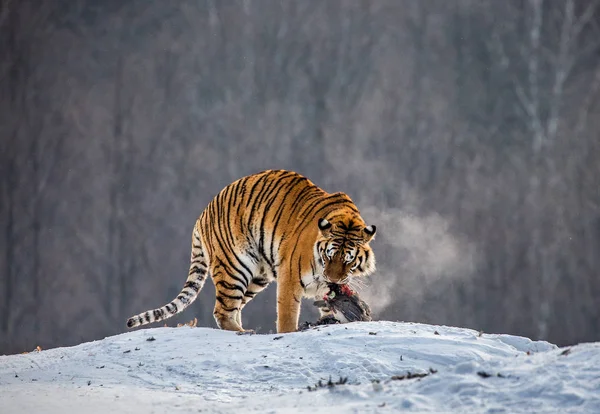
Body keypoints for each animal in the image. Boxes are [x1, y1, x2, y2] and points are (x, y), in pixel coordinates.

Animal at [127, 168, 378, 334]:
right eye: (329, 255)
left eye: (348, 260)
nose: (332, 279)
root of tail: (204, 213)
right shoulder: (290, 279)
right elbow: (287, 315)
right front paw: (289, 333)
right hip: (234, 268)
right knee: (222, 310)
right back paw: (243, 332)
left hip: (257, 275)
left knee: (233, 307)